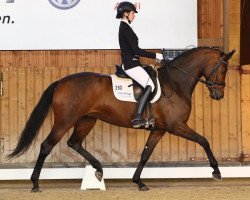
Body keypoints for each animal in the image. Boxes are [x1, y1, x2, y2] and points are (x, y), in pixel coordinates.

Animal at [7, 46, 234, 191]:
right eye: (223, 68)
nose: (219, 95)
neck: (175, 84)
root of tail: (61, 81)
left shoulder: (159, 129)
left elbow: (145, 154)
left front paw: (138, 182)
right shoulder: (176, 126)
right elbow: (204, 140)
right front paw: (216, 171)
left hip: (87, 119)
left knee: (75, 143)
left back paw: (98, 169)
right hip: (66, 121)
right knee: (47, 146)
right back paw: (35, 184)